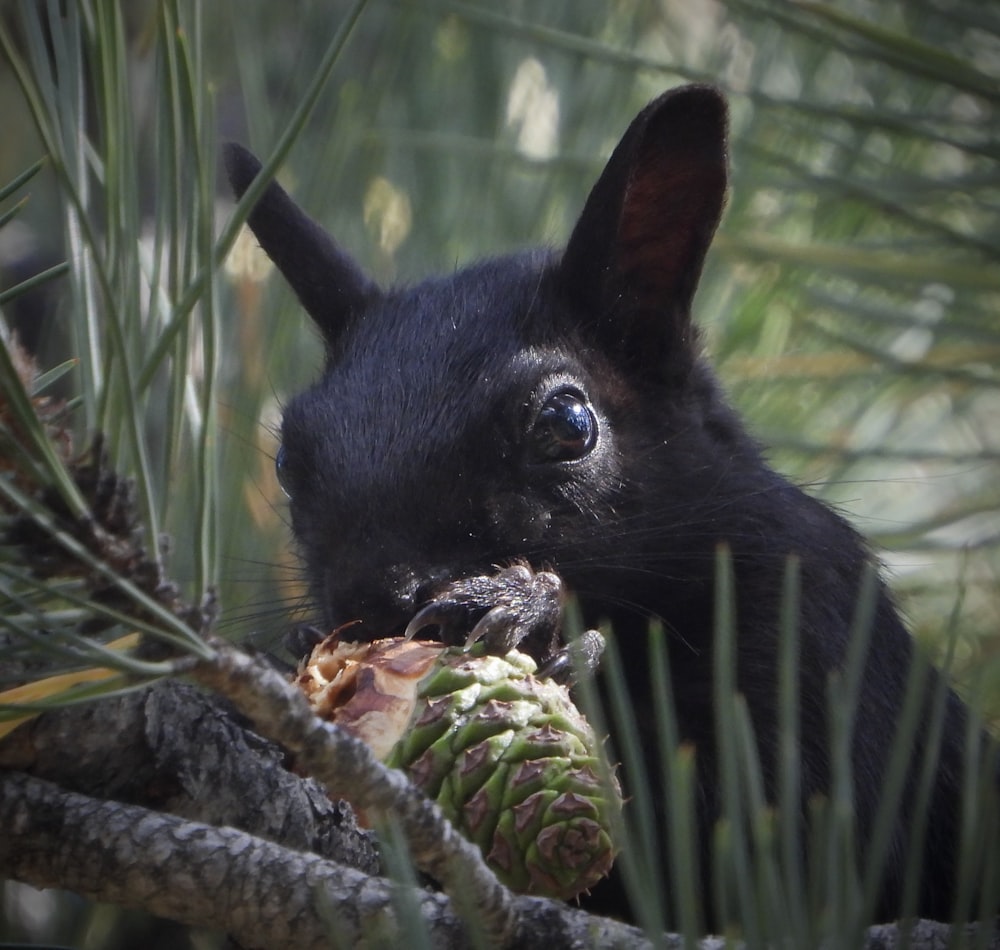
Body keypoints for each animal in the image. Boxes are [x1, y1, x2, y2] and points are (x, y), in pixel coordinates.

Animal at [227, 85, 1000, 924]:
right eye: (287, 459)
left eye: (568, 425)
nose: (375, 599)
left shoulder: (817, 625)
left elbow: (767, 820)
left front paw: (529, 611)